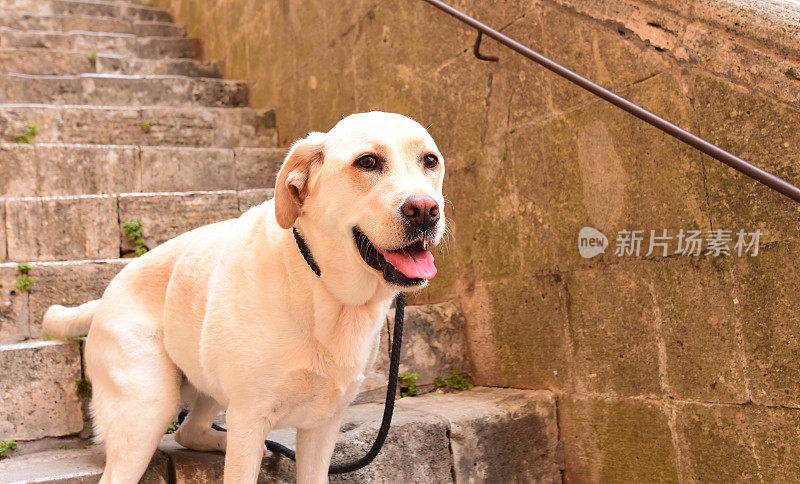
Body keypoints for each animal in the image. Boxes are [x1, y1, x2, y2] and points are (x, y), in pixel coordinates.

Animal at [40, 111, 446, 482]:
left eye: (430, 161)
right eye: (367, 162)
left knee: (189, 431)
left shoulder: (322, 426)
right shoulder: (250, 418)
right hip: (148, 406)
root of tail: (104, 297)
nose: (426, 210)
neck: (324, 290)